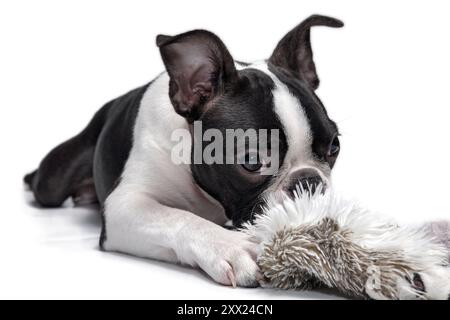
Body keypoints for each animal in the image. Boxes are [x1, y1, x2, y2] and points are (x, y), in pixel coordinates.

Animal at [24, 14, 344, 288]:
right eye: (252, 161)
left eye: (334, 146)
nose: (309, 181)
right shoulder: (124, 206)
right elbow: (179, 218)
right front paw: (230, 246)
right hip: (53, 182)